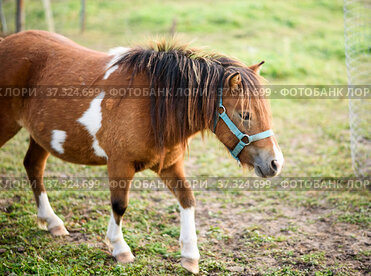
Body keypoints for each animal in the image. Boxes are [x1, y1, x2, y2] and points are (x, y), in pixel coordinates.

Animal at [0, 30, 284, 274]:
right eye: (245, 115)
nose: (275, 163)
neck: (152, 105)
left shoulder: (169, 166)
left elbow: (188, 200)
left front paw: (190, 256)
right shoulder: (119, 164)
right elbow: (120, 205)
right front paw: (119, 248)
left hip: (40, 136)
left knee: (33, 166)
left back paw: (52, 222)